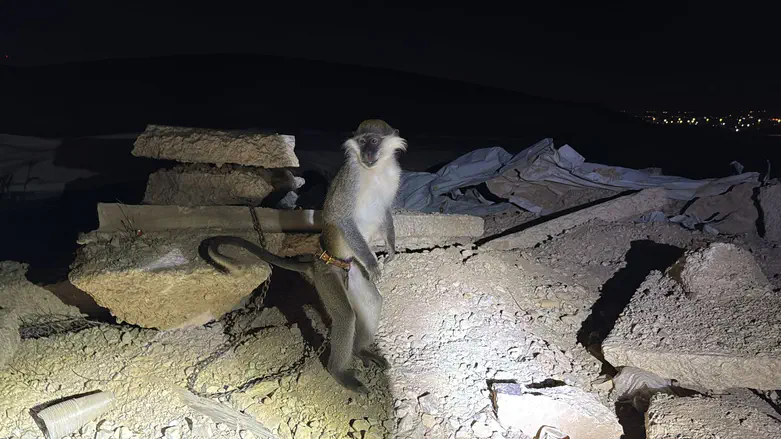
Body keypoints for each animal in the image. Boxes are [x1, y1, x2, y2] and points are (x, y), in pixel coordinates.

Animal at [201, 120, 408, 396]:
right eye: (362, 142)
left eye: (374, 141)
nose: (367, 154)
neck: (375, 172)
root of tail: (319, 262)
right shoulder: (350, 181)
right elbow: (341, 218)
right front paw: (373, 261)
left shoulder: (393, 177)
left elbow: (385, 212)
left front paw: (391, 249)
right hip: (327, 277)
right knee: (345, 317)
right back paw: (340, 373)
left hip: (353, 273)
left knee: (373, 302)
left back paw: (360, 350)